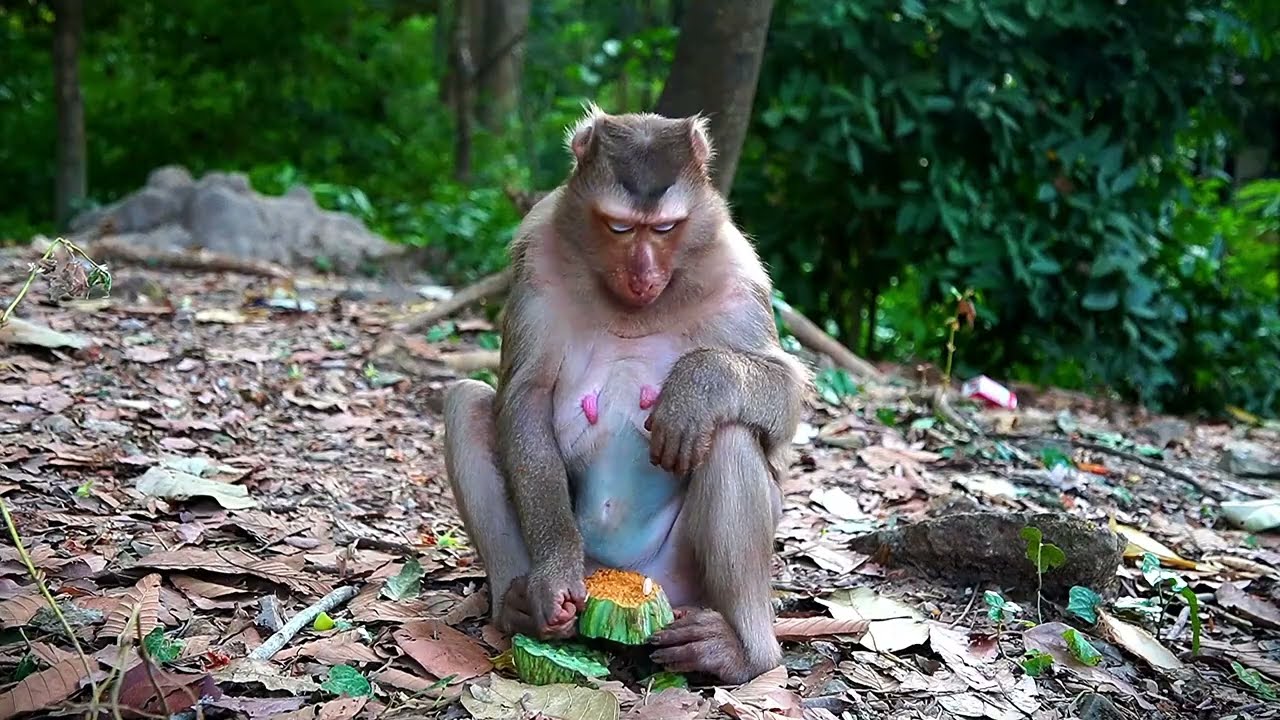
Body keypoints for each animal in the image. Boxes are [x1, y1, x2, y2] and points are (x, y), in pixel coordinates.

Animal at [442, 104, 807, 684]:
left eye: (665, 228)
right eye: (618, 227)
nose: (643, 274)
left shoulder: (738, 275)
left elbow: (786, 391)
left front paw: (694, 390)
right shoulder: (537, 258)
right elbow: (523, 396)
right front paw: (553, 575)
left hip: (683, 583)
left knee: (728, 433)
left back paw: (743, 653)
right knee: (466, 403)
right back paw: (517, 604)